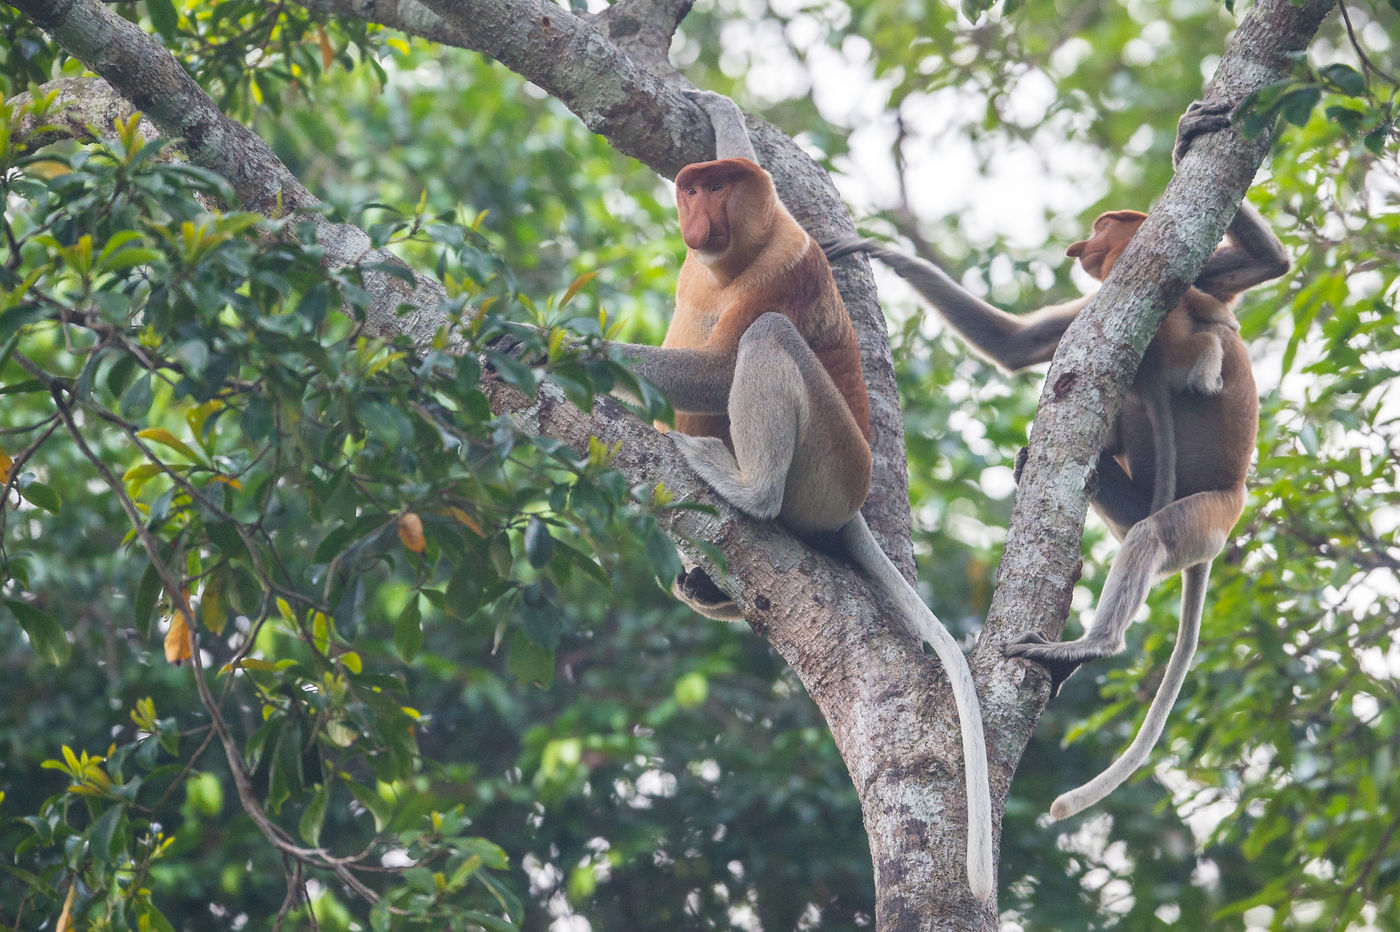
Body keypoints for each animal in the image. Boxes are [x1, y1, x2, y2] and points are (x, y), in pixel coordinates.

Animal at [613, 90, 996, 901]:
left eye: (717, 189)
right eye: (694, 185)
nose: (696, 214)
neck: (726, 262)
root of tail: (853, 499)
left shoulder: (784, 265)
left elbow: (722, 367)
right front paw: (719, 106)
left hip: (832, 463)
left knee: (768, 339)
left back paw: (743, 488)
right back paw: (707, 585)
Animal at [817, 97, 1288, 817]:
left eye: (1100, 225)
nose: (1076, 247)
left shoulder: (1195, 277)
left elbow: (1266, 268)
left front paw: (1193, 137)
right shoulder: (1105, 304)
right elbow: (1018, 345)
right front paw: (879, 250)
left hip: (1211, 514)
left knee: (1154, 534)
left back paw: (1085, 646)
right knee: (1125, 485)